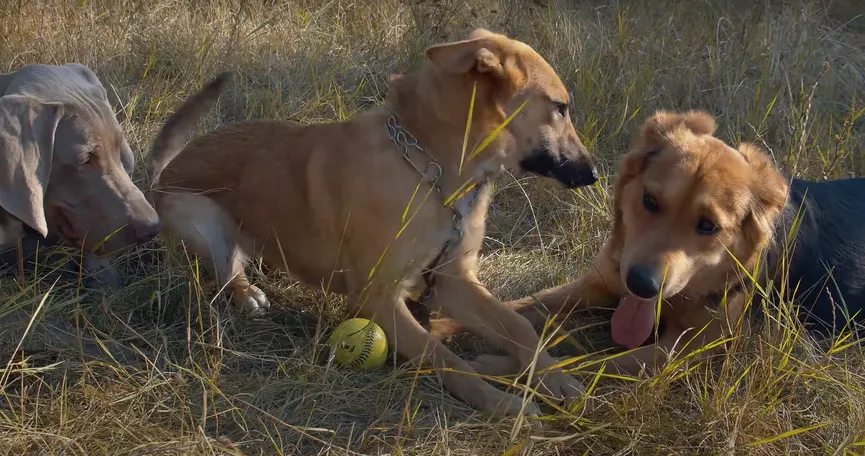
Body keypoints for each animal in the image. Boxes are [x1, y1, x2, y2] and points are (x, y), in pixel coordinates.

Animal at [147, 29, 600, 416]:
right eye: (559, 108)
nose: (594, 174)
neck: (431, 169)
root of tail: (163, 174)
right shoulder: (377, 297)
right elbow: (444, 356)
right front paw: (500, 402)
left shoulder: (453, 279)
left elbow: (518, 325)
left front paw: (555, 377)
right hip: (200, 220)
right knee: (226, 271)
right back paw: (246, 294)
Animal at [428, 111, 788, 378]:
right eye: (649, 200)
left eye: (708, 225)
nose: (641, 284)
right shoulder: (596, 284)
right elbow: (516, 307)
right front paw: (437, 326)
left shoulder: (681, 350)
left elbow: (585, 363)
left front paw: (505, 366)